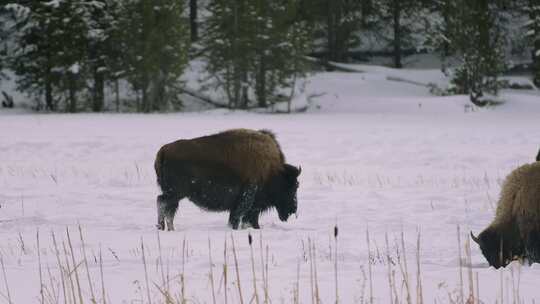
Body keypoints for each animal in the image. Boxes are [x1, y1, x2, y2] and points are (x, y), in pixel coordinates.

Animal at [154, 128, 302, 230]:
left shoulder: (251, 207)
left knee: (165, 205)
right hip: (175, 193)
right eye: (293, 186)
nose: (293, 209)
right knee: (164, 205)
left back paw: (164, 228)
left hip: (173, 194)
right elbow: (238, 218)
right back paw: (167, 228)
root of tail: (164, 151)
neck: (272, 171)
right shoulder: (247, 200)